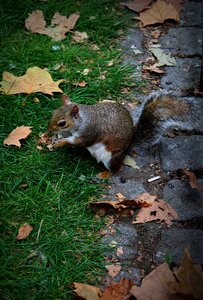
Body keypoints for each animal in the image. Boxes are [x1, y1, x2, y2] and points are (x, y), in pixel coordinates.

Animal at [47, 91, 193, 171]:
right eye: (53, 112)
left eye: (62, 123)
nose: (48, 130)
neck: (83, 119)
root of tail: (129, 143)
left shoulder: (89, 132)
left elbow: (79, 142)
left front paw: (61, 142)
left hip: (110, 156)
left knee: (116, 169)